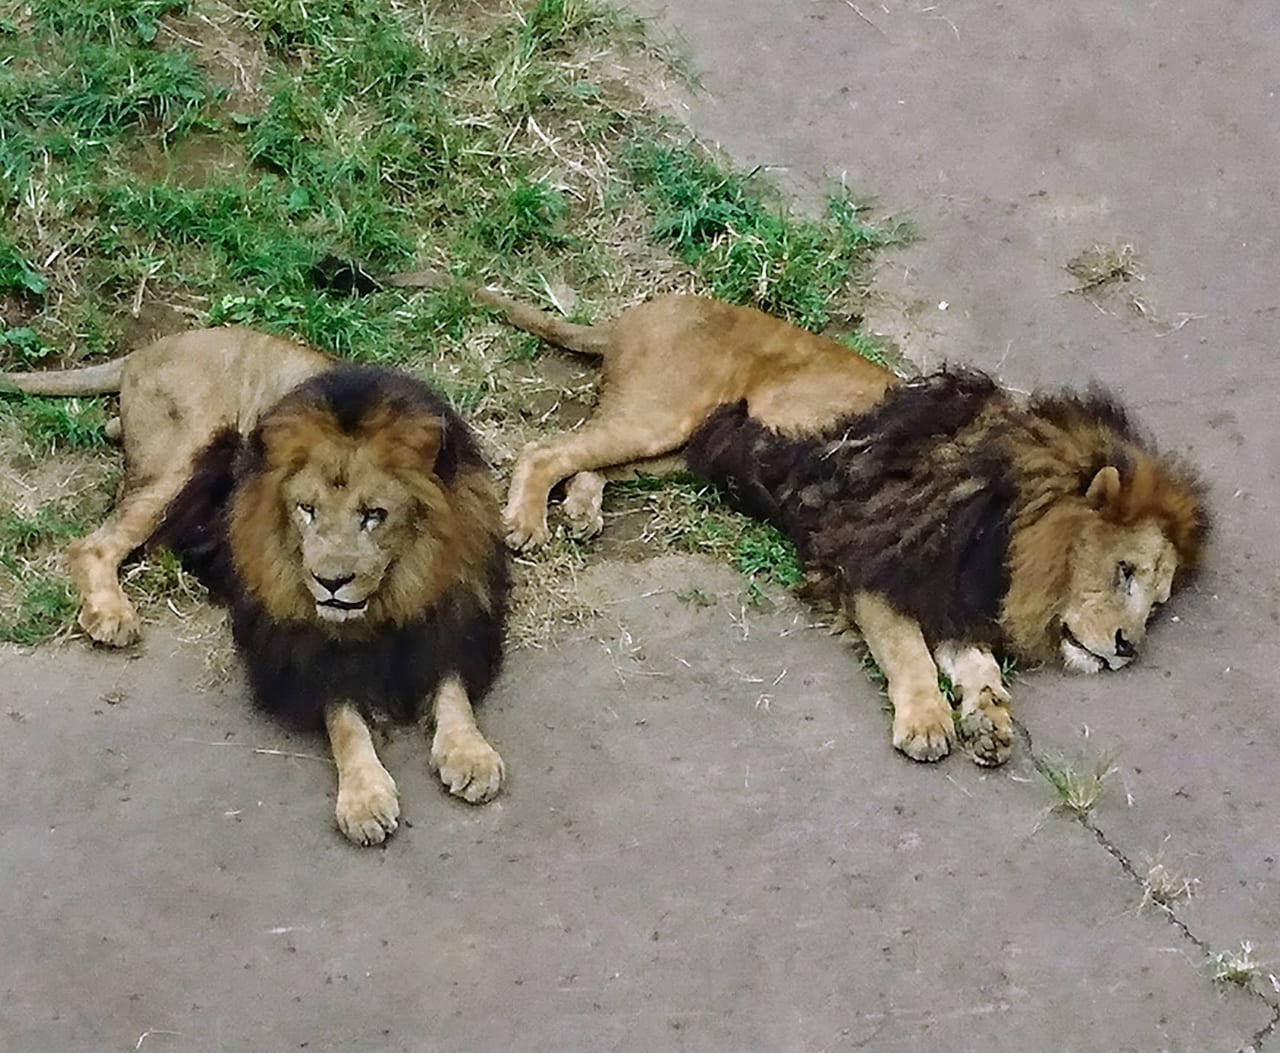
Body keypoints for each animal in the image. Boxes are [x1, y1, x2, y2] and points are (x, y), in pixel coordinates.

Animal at [0, 332, 509, 849]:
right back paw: (111, 614)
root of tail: (152, 348)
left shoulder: (455, 613)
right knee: (93, 544)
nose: (330, 583)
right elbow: (343, 718)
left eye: (374, 514)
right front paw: (364, 798)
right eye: (306, 509)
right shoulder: (297, 644)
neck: (393, 590)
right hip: (178, 458)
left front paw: (470, 754)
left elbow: (451, 688)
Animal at [327, 266, 1198, 767]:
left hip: (683, 445)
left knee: (594, 462)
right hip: (664, 413)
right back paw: (531, 522)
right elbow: (909, 654)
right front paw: (927, 723)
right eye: (1124, 572)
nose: (1129, 647)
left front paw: (990, 718)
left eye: (1157, 604)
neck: (1005, 541)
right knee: (549, 447)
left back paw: (581, 510)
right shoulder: (869, 567)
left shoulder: (944, 592)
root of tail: (636, 315)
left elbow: (975, 663)